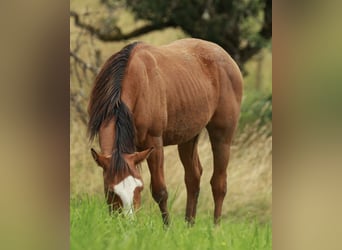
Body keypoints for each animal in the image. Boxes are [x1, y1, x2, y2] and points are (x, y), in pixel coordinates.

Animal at [88, 38, 243, 226]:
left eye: (139, 188)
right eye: (111, 191)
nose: (128, 224)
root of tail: (227, 58)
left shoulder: (154, 142)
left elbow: (160, 191)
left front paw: (167, 227)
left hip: (222, 137)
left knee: (219, 184)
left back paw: (215, 227)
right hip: (188, 137)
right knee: (193, 177)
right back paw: (189, 225)